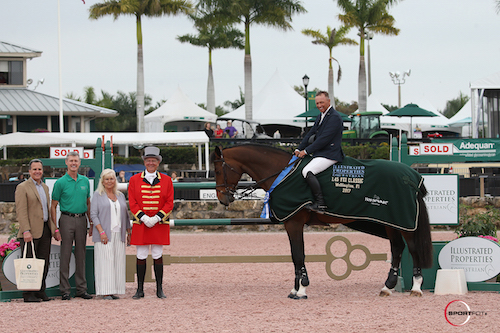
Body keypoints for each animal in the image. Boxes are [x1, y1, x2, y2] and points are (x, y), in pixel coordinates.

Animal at [211, 143, 434, 298]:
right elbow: (295, 256)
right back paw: (387, 288)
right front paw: (295, 289)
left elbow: (298, 255)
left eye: (218, 171)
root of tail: (412, 175)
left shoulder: (294, 222)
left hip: (403, 222)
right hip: (391, 222)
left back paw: (416, 288)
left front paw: (301, 290)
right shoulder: (290, 224)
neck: (282, 173)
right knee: (397, 248)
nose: (223, 199)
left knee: (413, 249)